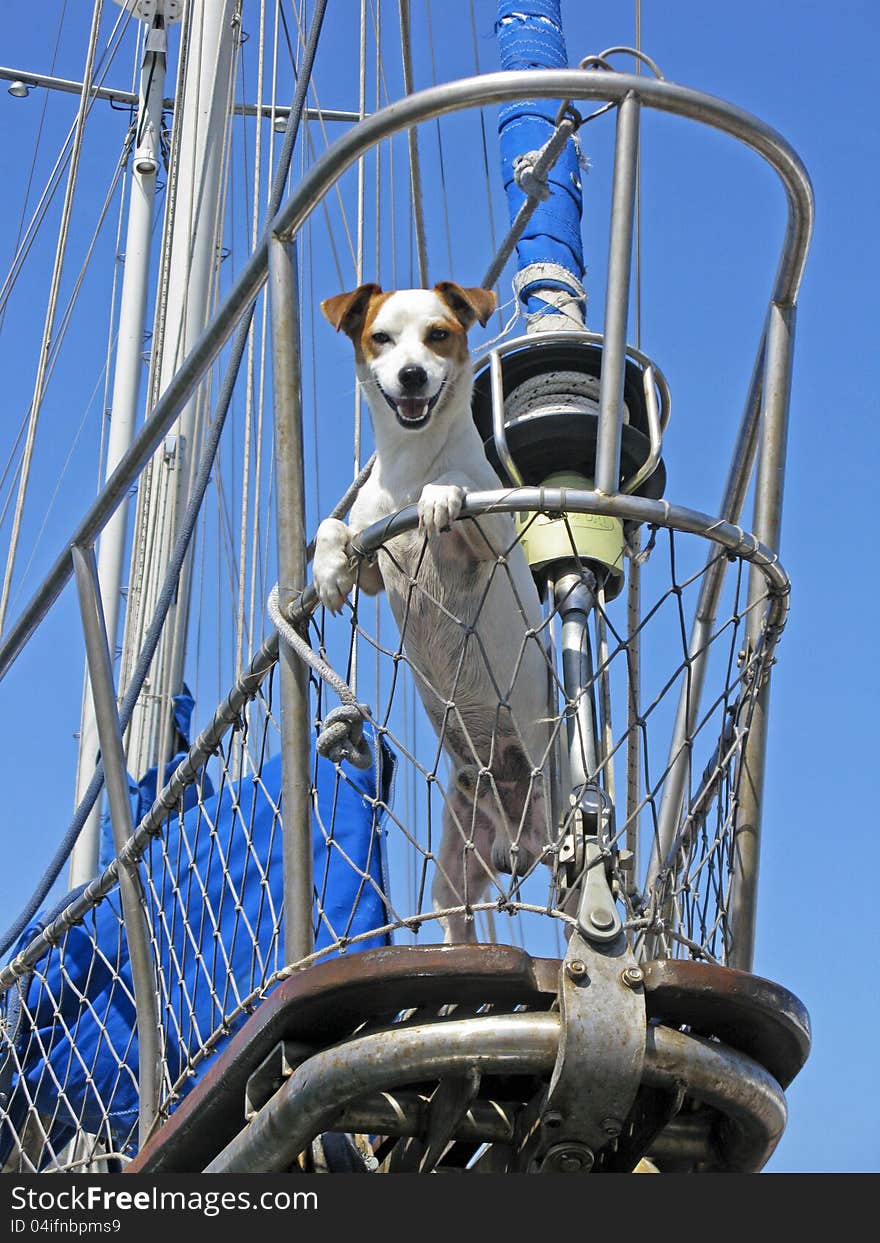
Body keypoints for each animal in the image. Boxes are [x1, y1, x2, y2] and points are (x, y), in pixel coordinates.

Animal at [314, 284, 549, 939]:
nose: (412, 375)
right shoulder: (373, 562)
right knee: (455, 916)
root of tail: (520, 845)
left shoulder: (495, 540)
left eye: (439, 334)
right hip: (457, 860)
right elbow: (334, 529)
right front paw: (327, 571)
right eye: (381, 339)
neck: (409, 466)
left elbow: (453, 489)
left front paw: (440, 496)